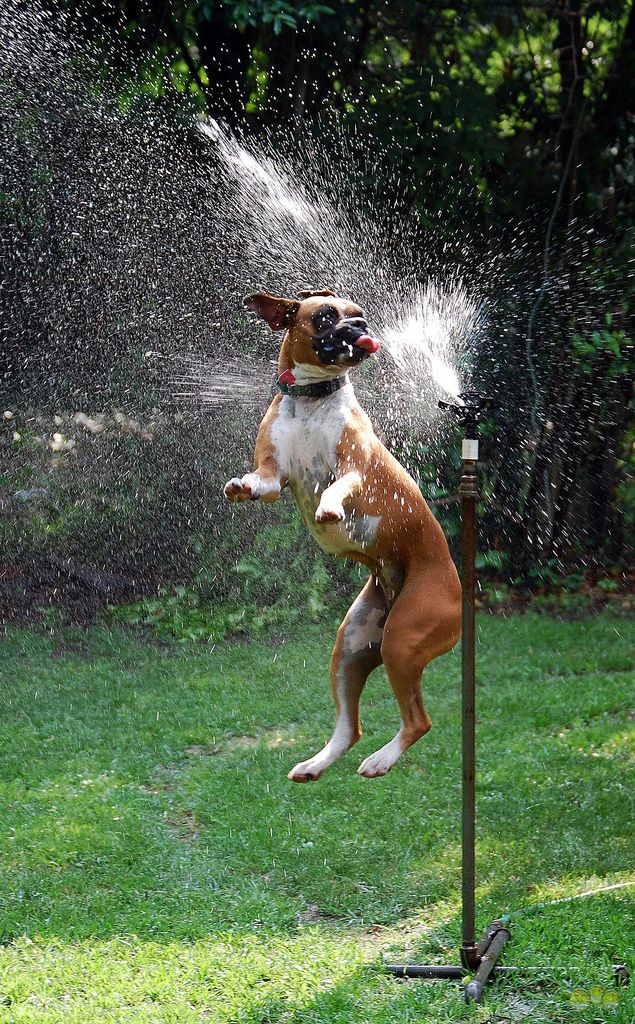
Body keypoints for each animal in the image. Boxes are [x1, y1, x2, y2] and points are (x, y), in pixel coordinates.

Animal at [224, 290, 460, 782]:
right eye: (326, 316)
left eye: (359, 314)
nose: (360, 327)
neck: (312, 400)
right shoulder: (274, 477)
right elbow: (260, 483)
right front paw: (240, 487)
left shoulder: (356, 469)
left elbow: (338, 486)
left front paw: (329, 507)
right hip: (350, 648)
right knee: (350, 728)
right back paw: (316, 764)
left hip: (402, 641)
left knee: (419, 720)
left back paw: (380, 760)